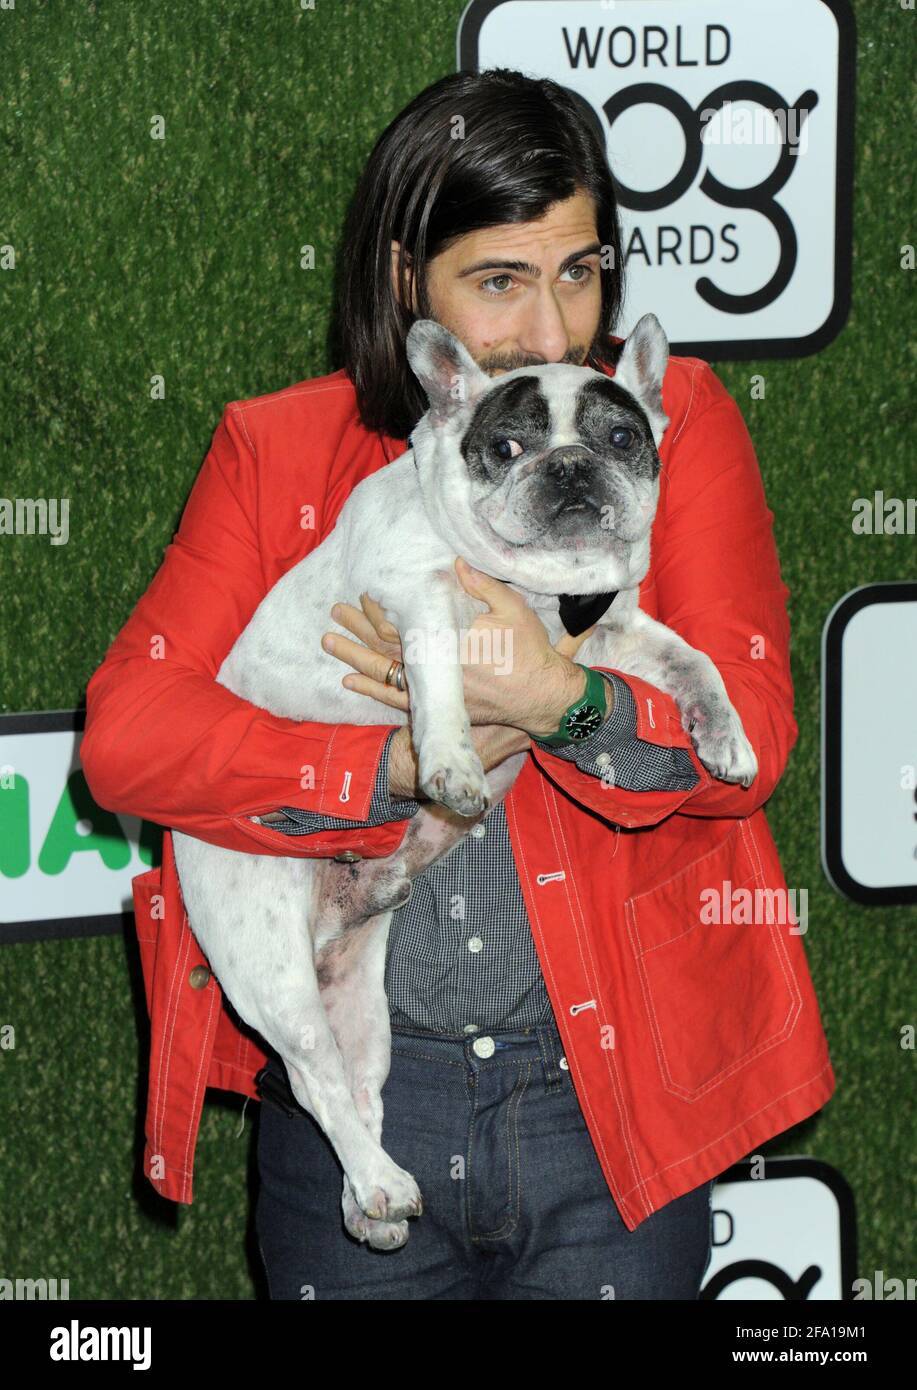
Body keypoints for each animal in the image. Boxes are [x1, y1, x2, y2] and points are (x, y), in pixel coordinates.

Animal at [170, 315, 750, 1251]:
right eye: (505, 446)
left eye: (622, 439)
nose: (568, 466)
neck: (540, 590)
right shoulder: (417, 605)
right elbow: (440, 676)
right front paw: (450, 765)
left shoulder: (612, 631)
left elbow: (691, 660)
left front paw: (723, 738)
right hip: (270, 969)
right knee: (311, 1076)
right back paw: (381, 1184)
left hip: (359, 1004)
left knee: (352, 1092)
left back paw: (368, 1199)